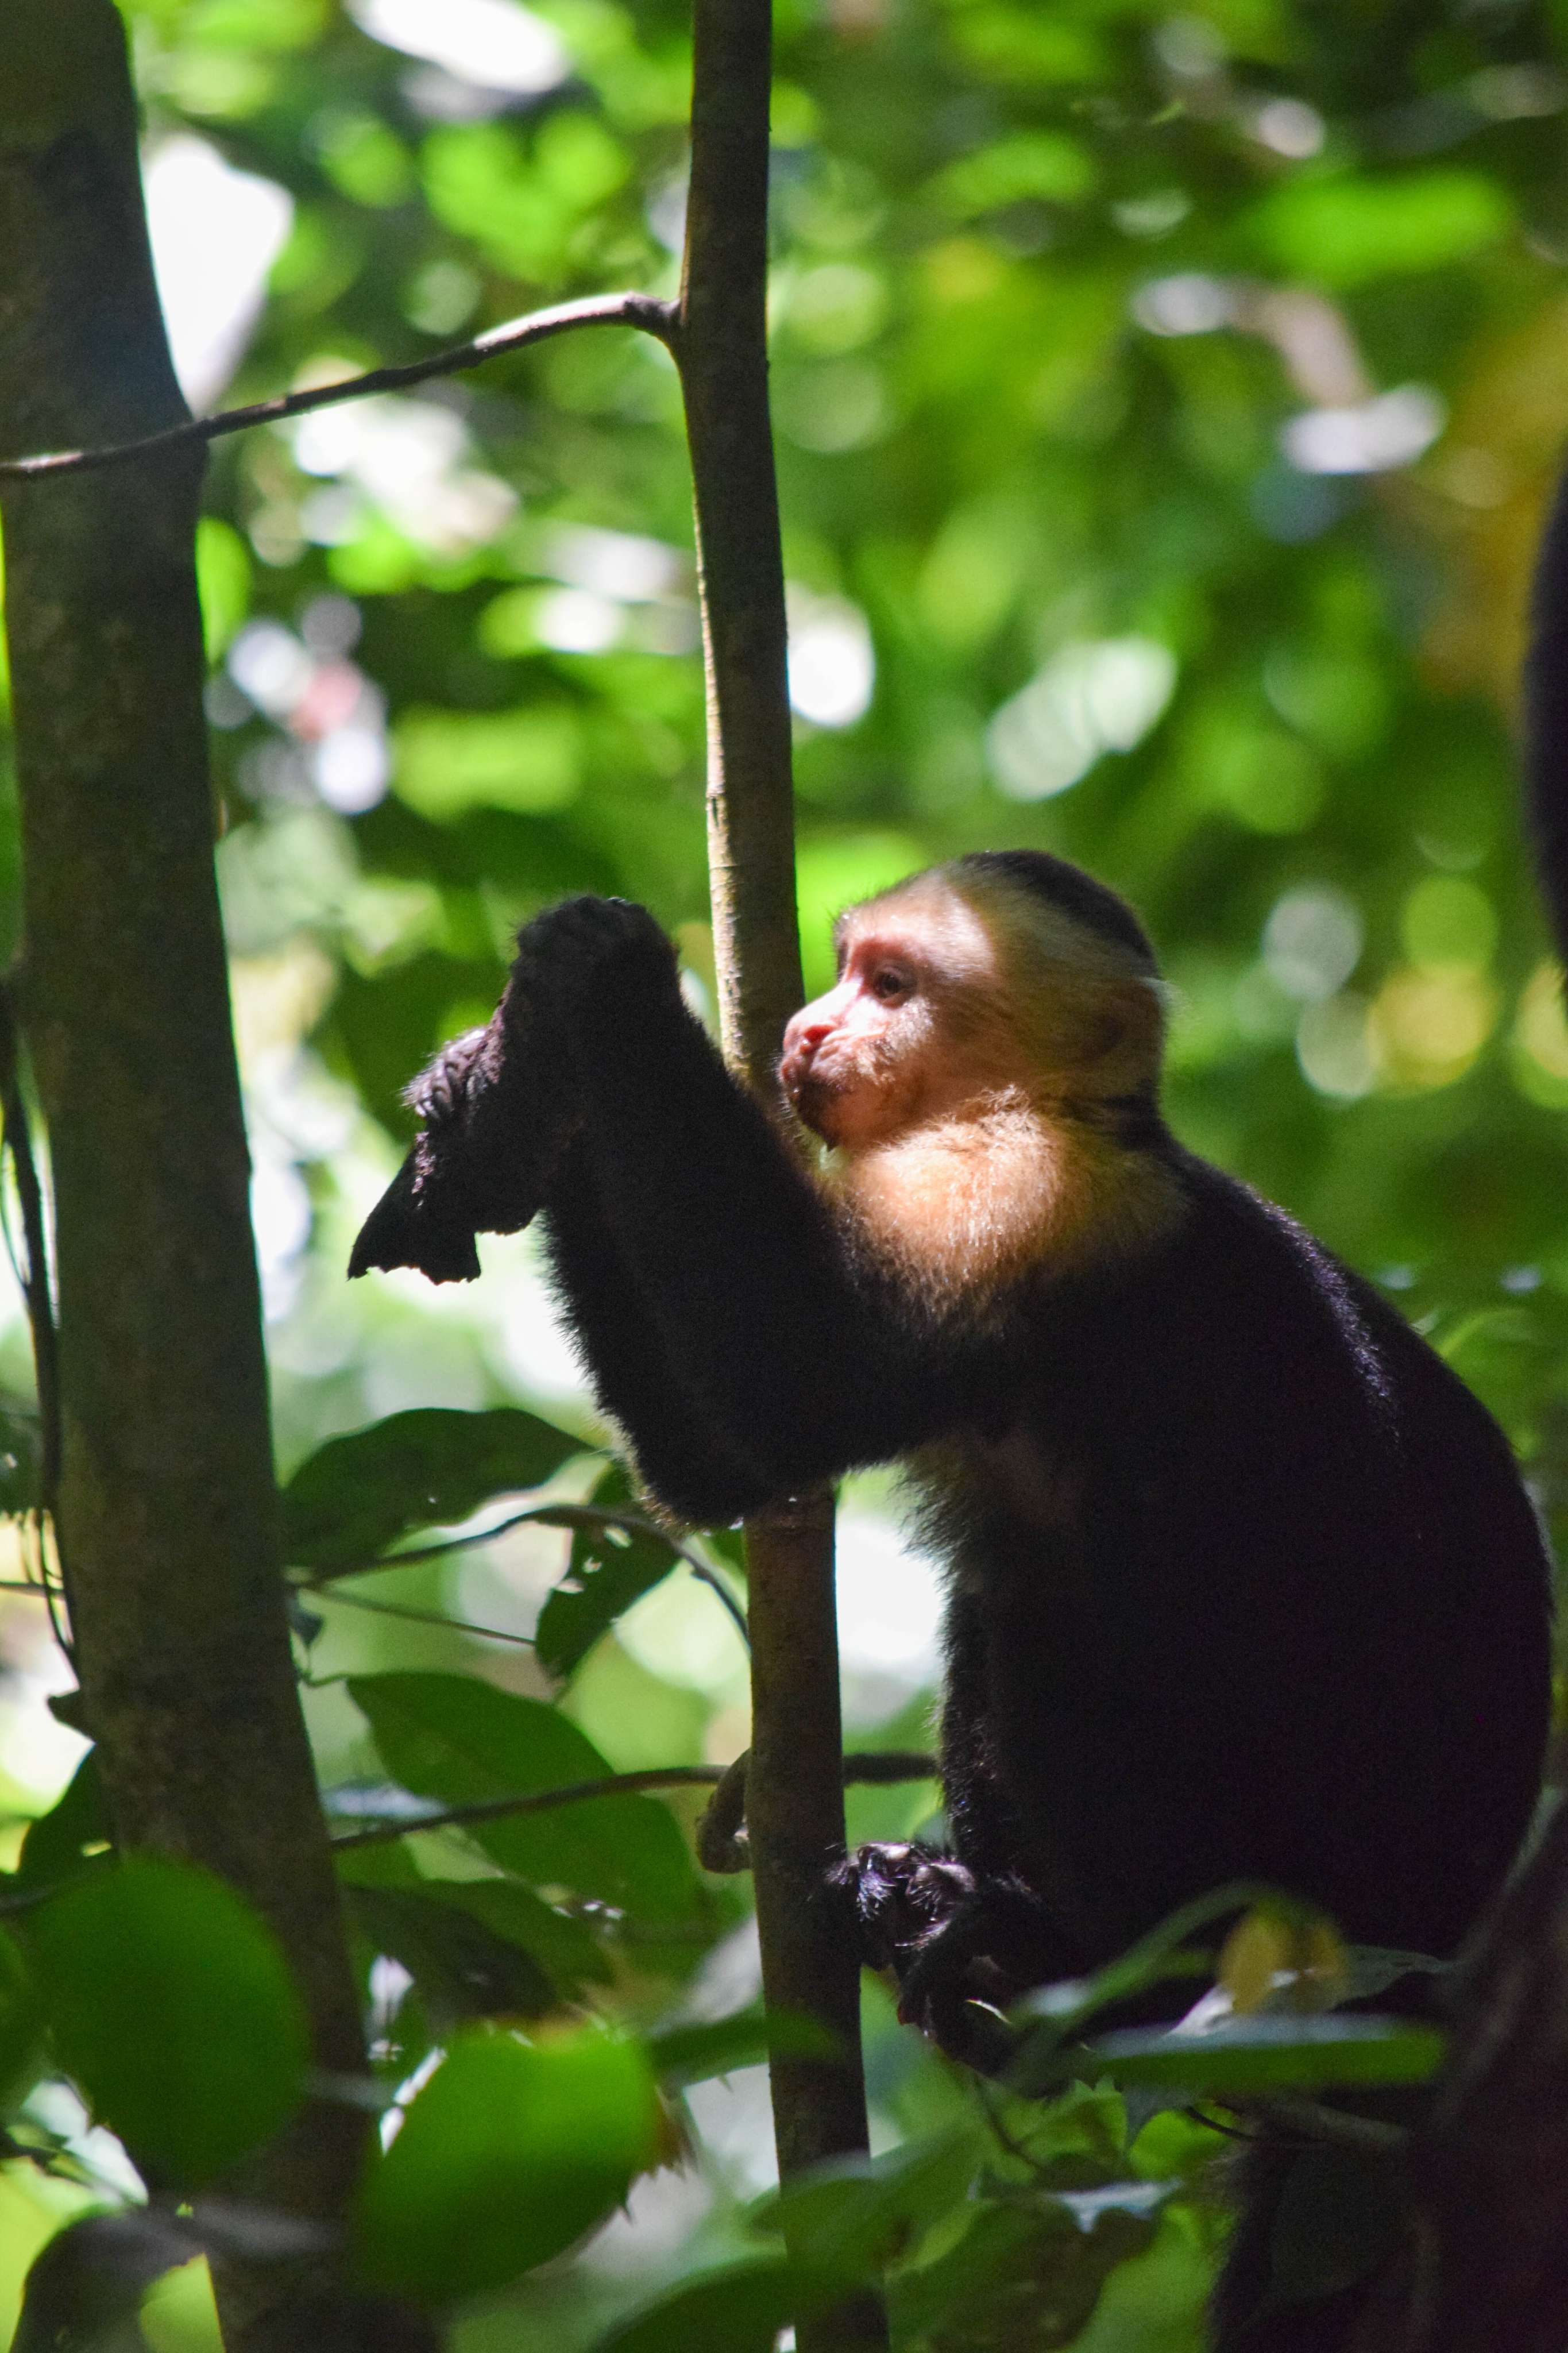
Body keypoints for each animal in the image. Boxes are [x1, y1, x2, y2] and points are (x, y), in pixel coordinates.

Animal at [351, 849, 1552, 2347]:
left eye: (892, 985)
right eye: (845, 969)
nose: (806, 1028)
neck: (1048, 1112)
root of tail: (1445, 1957)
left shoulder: (1029, 1198)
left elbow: (798, 1371)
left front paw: (604, 973)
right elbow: (726, 1456)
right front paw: (505, 1089)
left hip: (1319, 1901)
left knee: (1058, 1619)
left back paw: (1098, 1970)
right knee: (1000, 1600)